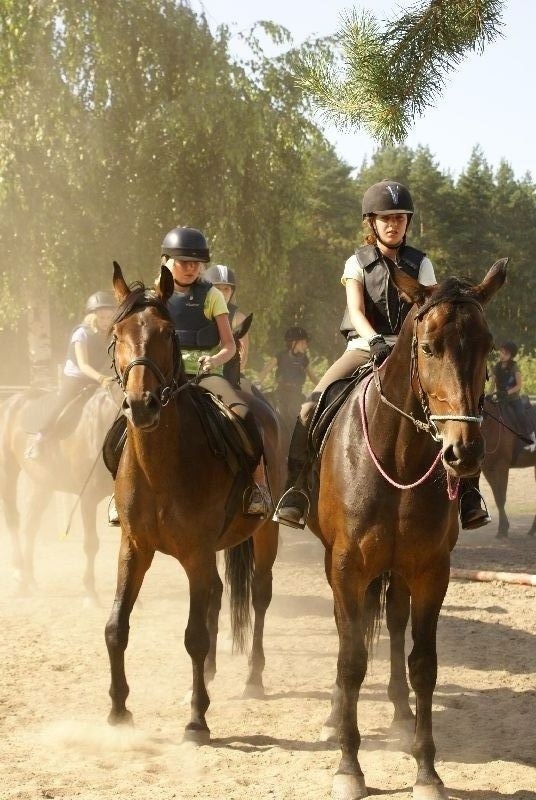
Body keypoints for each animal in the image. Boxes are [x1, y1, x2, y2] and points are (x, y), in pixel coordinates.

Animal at [0, 382, 118, 600]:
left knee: (31, 525)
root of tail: (10, 403)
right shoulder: (88, 498)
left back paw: (30, 580)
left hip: (43, 482)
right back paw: (19, 575)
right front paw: (90, 593)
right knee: (13, 520)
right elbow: (91, 544)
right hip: (8, 472)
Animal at [102, 262, 282, 736]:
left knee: (259, 596)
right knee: (218, 595)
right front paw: (118, 709)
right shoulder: (134, 547)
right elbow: (116, 627)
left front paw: (198, 719)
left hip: (266, 533)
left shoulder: (196, 551)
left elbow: (194, 636)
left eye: (167, 334)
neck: (161, 468)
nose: (141, 405)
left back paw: (253, 677)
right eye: (117, 332)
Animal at [306, 260, 506, 796]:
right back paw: (336, 714)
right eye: (428, 346)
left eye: (486, 346)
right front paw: (348, 767)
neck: (397, 454)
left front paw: (426, 769)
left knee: (395, 626)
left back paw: (399, 712)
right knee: (348, 636)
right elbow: (351, 658)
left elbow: (424, 664)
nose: (464, 452)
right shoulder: (347, 568)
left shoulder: (431, 571)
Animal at [482, 398, 536, 536]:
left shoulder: (502, 466)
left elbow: (501, 498)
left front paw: (503, 530)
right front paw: (503, 528)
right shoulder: (488, 469)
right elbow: (497, 497)